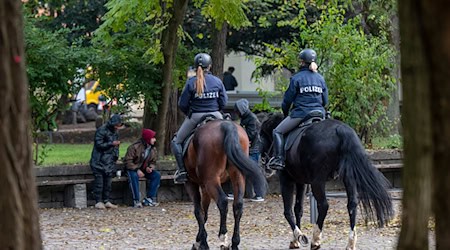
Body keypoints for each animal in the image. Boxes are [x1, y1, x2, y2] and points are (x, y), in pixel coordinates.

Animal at [184, 119, 268, 250]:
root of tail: (226, 125)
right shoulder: (204, 187)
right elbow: (204, 212)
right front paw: (200, 240)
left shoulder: (191, 183)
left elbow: (198, 212)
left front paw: (201, 242)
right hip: (237, 176)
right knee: (238, 205)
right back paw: (235, 242)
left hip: (211, 180)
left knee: (222, 202)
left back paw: (223, 237)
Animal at [258, 112, 392, 249]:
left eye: (261, 135)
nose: (263, 161)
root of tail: (340, 129)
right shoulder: (301, 181)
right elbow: (298, 209)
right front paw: (295, 239)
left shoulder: (286, 179)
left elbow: (288, 211)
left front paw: (299, 237)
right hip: (348, 178)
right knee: (352, 204)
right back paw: (350, 243)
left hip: (317, 181)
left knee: (323, 205)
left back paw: (316, 240)